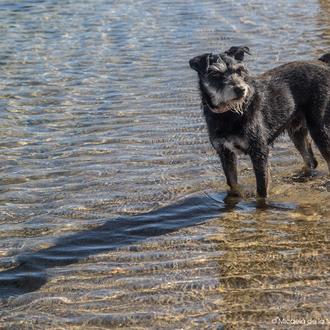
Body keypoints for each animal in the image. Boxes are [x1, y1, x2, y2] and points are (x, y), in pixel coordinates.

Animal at [189, 47, 328, 199]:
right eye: (216, 74)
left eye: (239, 70)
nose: (240, 89)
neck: (229, 113)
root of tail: (323, 64)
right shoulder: (225, 152)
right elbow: (232, 183)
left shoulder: (259, 151)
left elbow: (261, 189)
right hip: (296, 131)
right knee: (311, 161)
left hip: (320, 128)